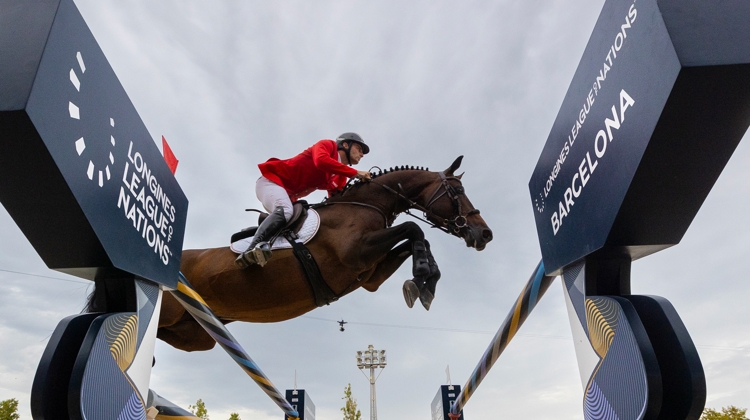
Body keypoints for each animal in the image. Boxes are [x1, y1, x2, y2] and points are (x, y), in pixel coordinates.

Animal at [157, 156, 494, 352]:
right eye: (458, 192)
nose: (484, 234)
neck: (366, 205)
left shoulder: (370, 276)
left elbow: (414, 239)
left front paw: (424, 286)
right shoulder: (357, 253)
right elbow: (413, 228)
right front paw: (422, 276)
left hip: (192, 335)